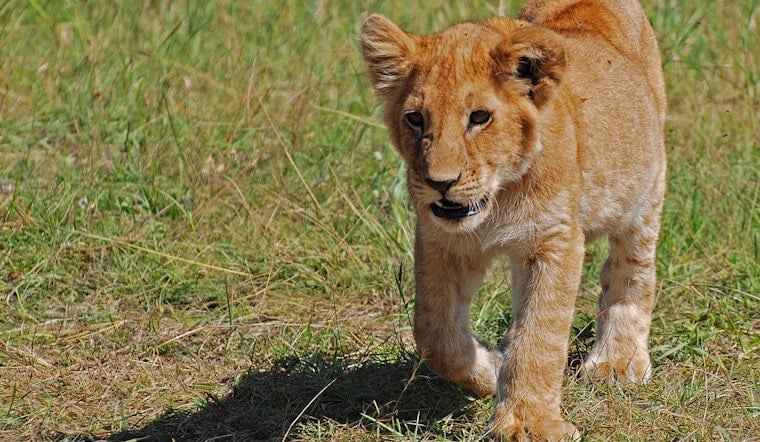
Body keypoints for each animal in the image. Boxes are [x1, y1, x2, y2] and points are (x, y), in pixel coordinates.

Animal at [360, 0, 666, 440]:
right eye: (415, 118)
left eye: (479, 117)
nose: (440, 183)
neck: (498, 198)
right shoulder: (441, 239)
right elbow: (435, 333)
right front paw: (490, 369)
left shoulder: (554, 239)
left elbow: (539, 336)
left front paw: (529, 423)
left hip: (645, 191)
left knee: (630, 270)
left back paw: (617, 363)